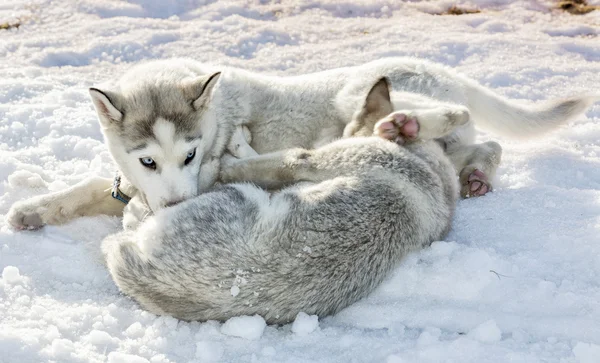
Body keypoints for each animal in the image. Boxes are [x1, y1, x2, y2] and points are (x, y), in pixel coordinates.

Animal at [5, 58, 596, 232]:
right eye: (147, 158)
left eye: (190, 155)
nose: (174, 209)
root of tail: (436, 69)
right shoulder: (132, 182)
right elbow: (91, 186)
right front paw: (35, 210)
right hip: (448, 144)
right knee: (483, 145)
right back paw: (474, 174)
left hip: (357, 93)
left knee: (463, 119)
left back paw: (405, 125)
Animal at [101, 80, 462, 324]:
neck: (427, 169)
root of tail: (144, 276)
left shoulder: (304, 160)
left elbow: (261, 161)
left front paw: (233, 150)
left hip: (239, 196)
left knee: (135, 220)